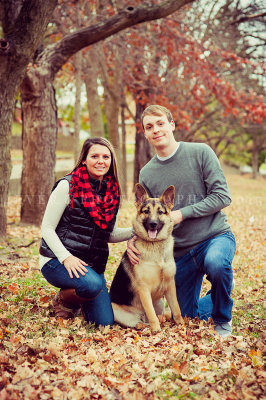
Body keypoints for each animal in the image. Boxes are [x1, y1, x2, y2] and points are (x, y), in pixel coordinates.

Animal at [109, 184, 183, 334]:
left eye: (160, 212)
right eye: (146, 211)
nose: (153, 224)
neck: (155, 245)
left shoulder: (170, 284)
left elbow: (177, 309)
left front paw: (182, 325)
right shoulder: (144, 289)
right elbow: (151, 313)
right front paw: (156, 330)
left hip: (159, 301)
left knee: (158, 315)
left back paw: (162, 319)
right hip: (117, 311)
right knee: (140, 322)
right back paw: (144, 325)